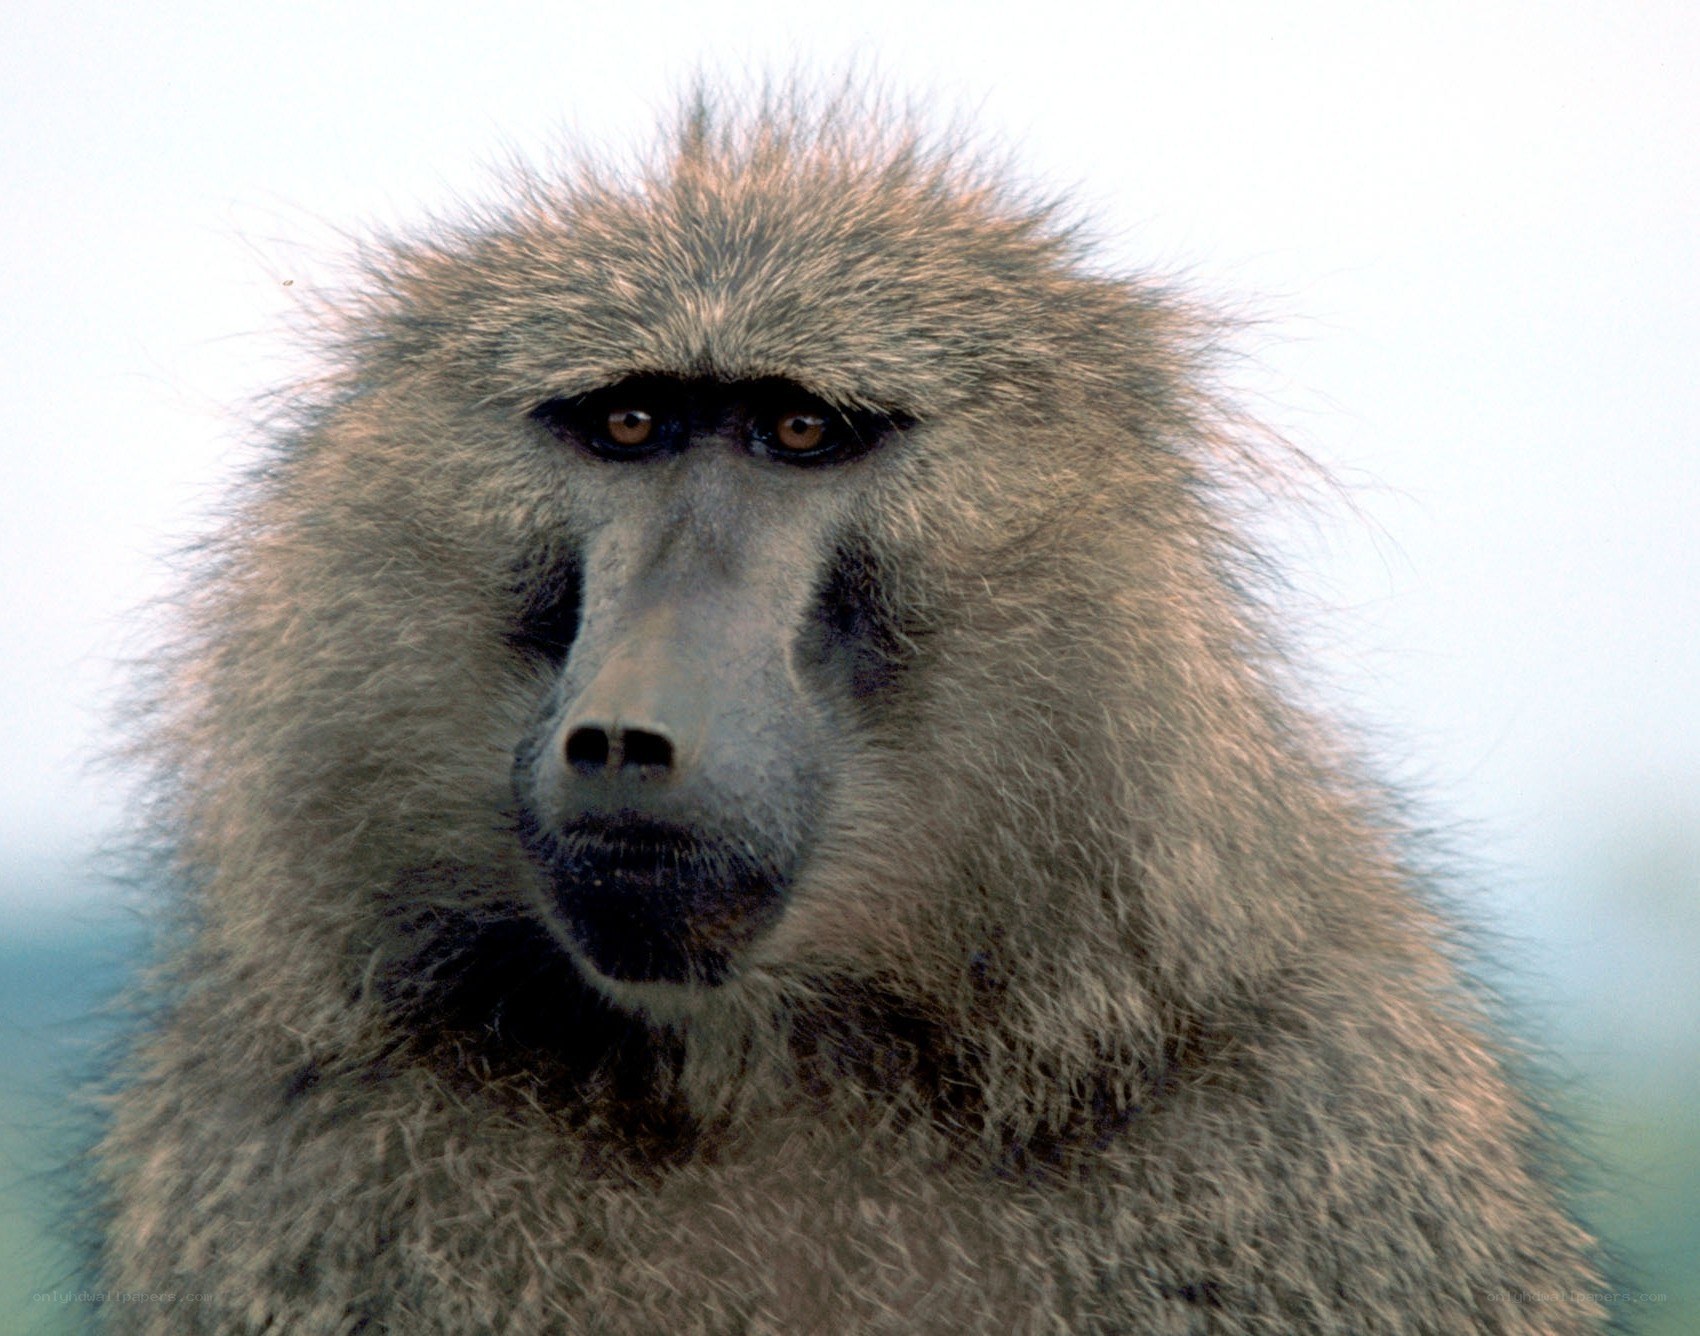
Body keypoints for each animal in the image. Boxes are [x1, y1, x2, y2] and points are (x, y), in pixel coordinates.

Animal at [95, 89, 1610, 1334]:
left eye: (800, 433)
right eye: (630, 425)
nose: (627, 736)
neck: (761, 1066)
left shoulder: (1299, 1120)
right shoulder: (314, 1140)